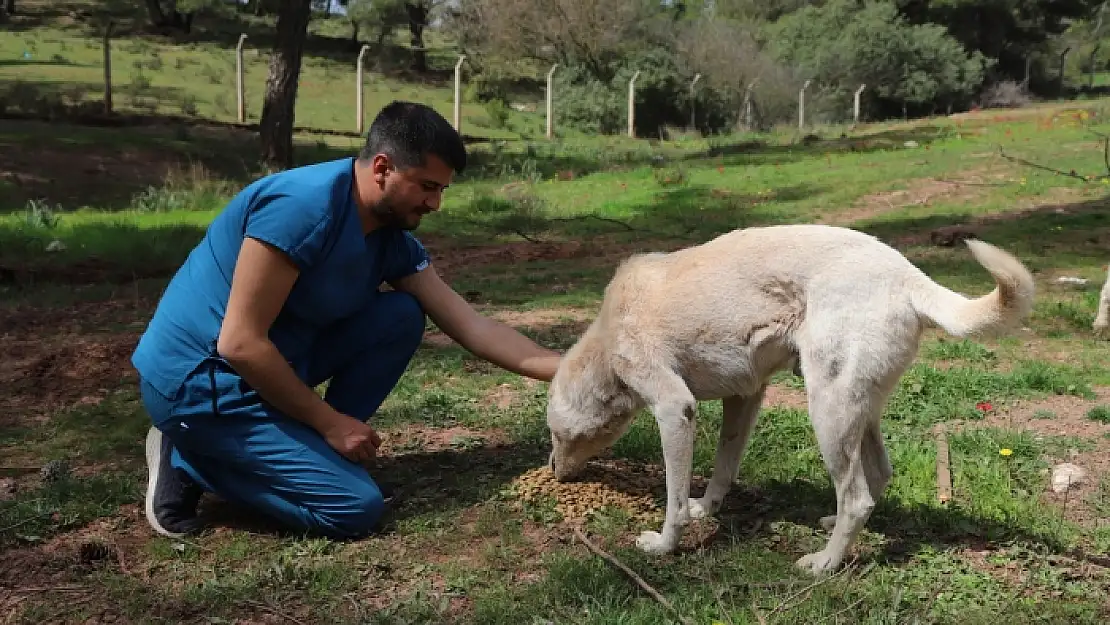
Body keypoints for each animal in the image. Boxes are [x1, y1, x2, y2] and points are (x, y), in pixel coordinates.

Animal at [541, 225, 1034, 577]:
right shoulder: (743, 396)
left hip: (828, 411)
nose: (552, 471)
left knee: (856, 497)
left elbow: (673, 502)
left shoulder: (674, 409)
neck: (606, 341)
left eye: (555, 434)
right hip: (858, 409)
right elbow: (724, 466)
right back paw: (835, 530)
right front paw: (707, 508)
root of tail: (908, 277)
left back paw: (825, 563)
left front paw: (664, 545)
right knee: (876, 476)